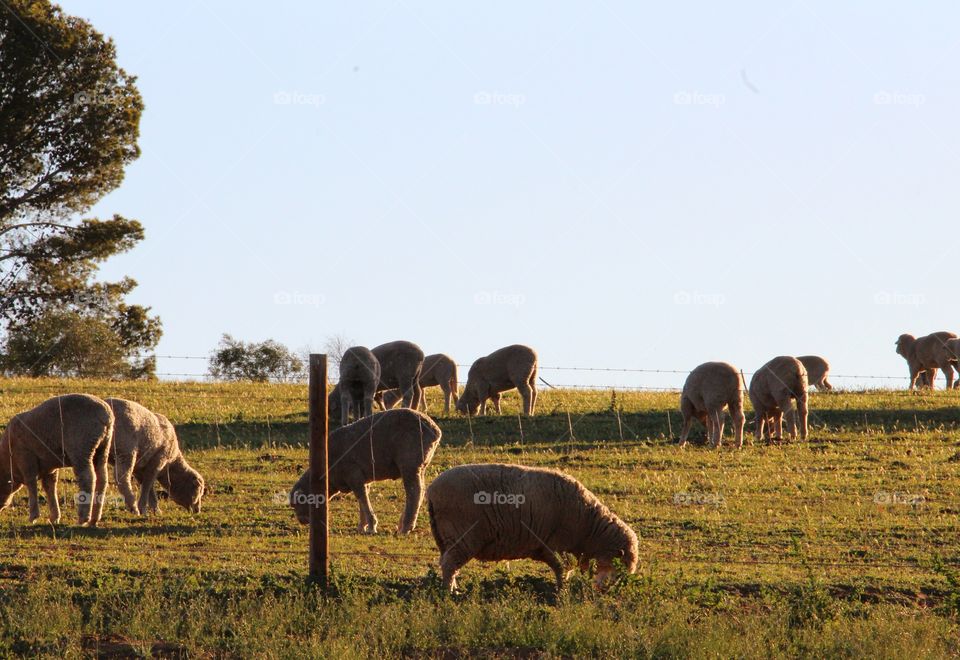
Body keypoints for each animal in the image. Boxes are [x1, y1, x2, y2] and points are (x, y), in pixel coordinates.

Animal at [0, 392, 113, 524]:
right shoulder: (49, 466)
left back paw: (83, 517)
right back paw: (94, 518)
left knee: (87, 478)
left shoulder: (25, 456)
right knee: (103, 479)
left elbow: (31, 483)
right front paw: (55, 517)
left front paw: (33, 516)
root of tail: (106, 416)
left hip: (81, 447)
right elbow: (50, 486)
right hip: (102, 448)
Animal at [286, 410, 440, 532]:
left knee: (414, 492)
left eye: (300, 501)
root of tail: (435, 430)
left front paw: (371, 526)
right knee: (420, 490)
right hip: (420, 465)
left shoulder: (353, 474)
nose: (301, 521)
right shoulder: (361, 478)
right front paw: (362, 526)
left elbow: (362, 497)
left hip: (409, 462)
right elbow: (362, 498)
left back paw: (406, 527)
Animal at [426, 458, 636, 592]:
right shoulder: (558, 548)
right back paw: (450, 593)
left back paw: (453, 588)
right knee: (449, 564)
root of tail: (431, 490)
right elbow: (562, 570)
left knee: (447, 562)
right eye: (619, 568)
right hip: (462, 535)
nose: (608, 592)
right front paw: (562, 590)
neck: (590, 527)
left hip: (447, 538)